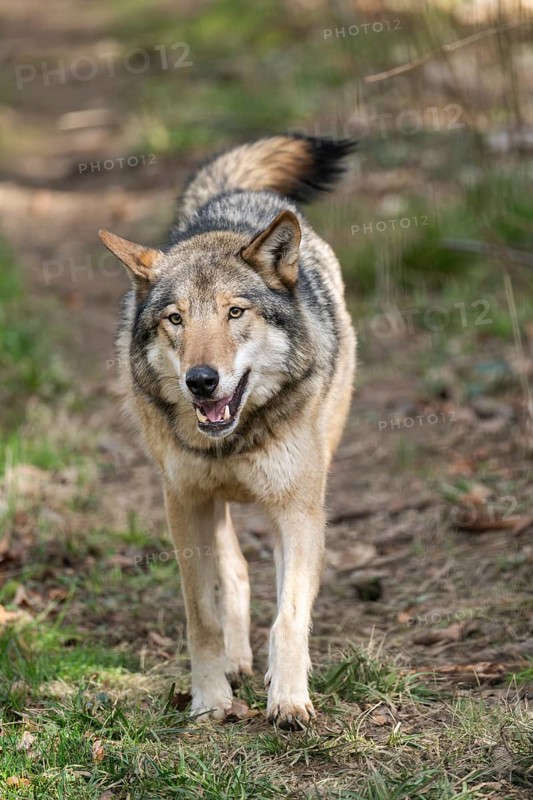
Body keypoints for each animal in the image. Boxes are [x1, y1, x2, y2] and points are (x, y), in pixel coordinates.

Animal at [99, 134, 356, 728]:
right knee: (235, 570)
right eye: (175, 319)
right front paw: (210, 699)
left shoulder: (300, 510)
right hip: (207, 505)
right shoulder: (185, 504)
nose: (201, 380)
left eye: (235, 313)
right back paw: (238, 664)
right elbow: (203, 618)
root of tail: (227, 198)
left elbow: (289, 615)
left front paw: (289, 699)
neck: (232, 441)